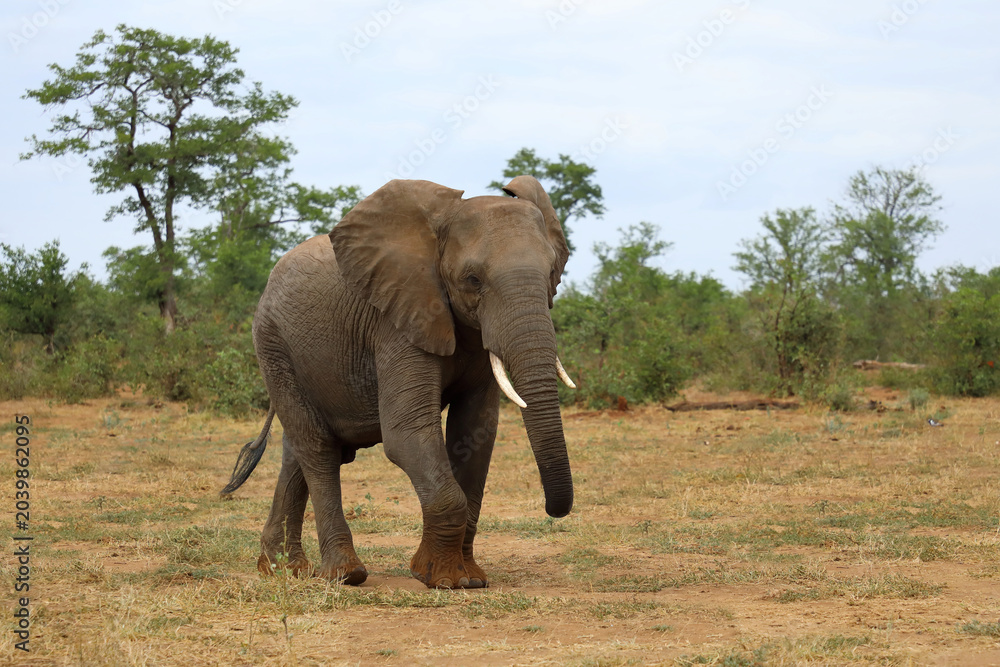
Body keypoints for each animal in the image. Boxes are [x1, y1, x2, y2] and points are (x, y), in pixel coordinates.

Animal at [221, 175, 577, 589]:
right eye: (472, 280)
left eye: (552, 273)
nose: (553, 510)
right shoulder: (397, 322)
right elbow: (406, 432)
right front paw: (444, 580)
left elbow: (475, 434)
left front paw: (468, 578)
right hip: (273, 345)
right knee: (317, 448)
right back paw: (345, 574)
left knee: (297, 450)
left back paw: (283, 569)